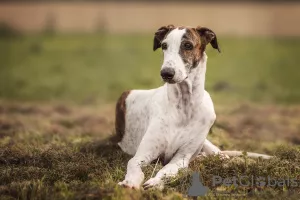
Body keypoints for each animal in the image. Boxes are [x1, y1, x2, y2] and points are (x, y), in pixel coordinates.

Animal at [113, 24, 270, 189]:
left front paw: (156, 182)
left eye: (187, 45)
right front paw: (130, 182)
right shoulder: (143, 154)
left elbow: (167, 170)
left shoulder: (181, 158)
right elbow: (133, 164)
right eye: (164, 45)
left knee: (222, 155)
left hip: (206, 144)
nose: (166, 73)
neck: (183, 105)